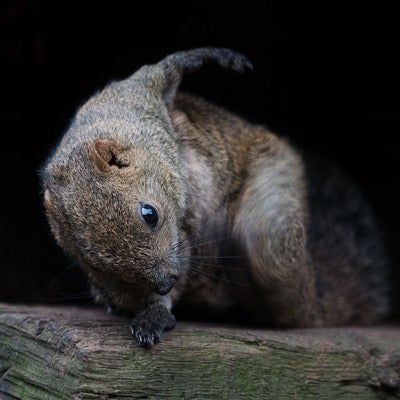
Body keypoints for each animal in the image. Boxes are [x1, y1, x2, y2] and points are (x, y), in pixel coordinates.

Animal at [41, 47, 390, 346]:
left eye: (150, 214)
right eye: (93, 262)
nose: (165, 282)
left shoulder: (133, 99)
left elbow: (159, 72)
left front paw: (203, 58)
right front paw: (155, 311)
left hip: (276, 234)